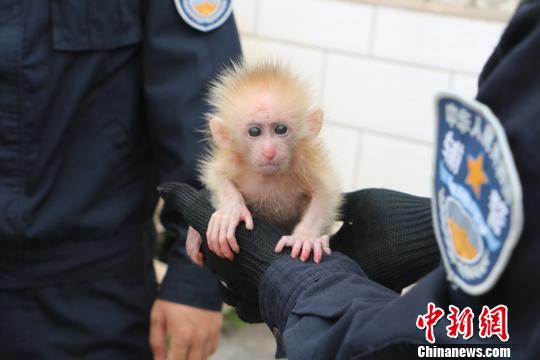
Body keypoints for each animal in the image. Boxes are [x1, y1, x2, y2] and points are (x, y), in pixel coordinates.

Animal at [187, 59, 342, 264]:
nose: (269, 152)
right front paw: (232, 211)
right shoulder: (234, 158)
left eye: (281, 129)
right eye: (255, 132)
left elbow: (325, 191)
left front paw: (305, 237)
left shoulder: (304, 159)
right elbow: (216, 175)